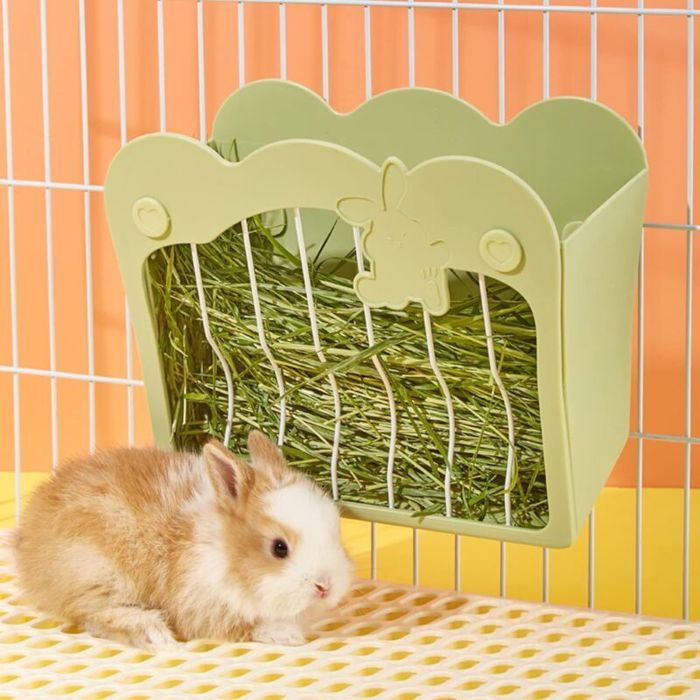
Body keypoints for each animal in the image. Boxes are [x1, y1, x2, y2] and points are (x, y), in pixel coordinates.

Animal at [14, 430, 354, 649]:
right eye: (279, 548)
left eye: (335, 532)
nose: (326, 587)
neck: (223, 552)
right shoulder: (199, 604)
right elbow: (241, 626)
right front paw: (285, 634)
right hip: (101, 575)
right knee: (90, 613)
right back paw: (152, 632)